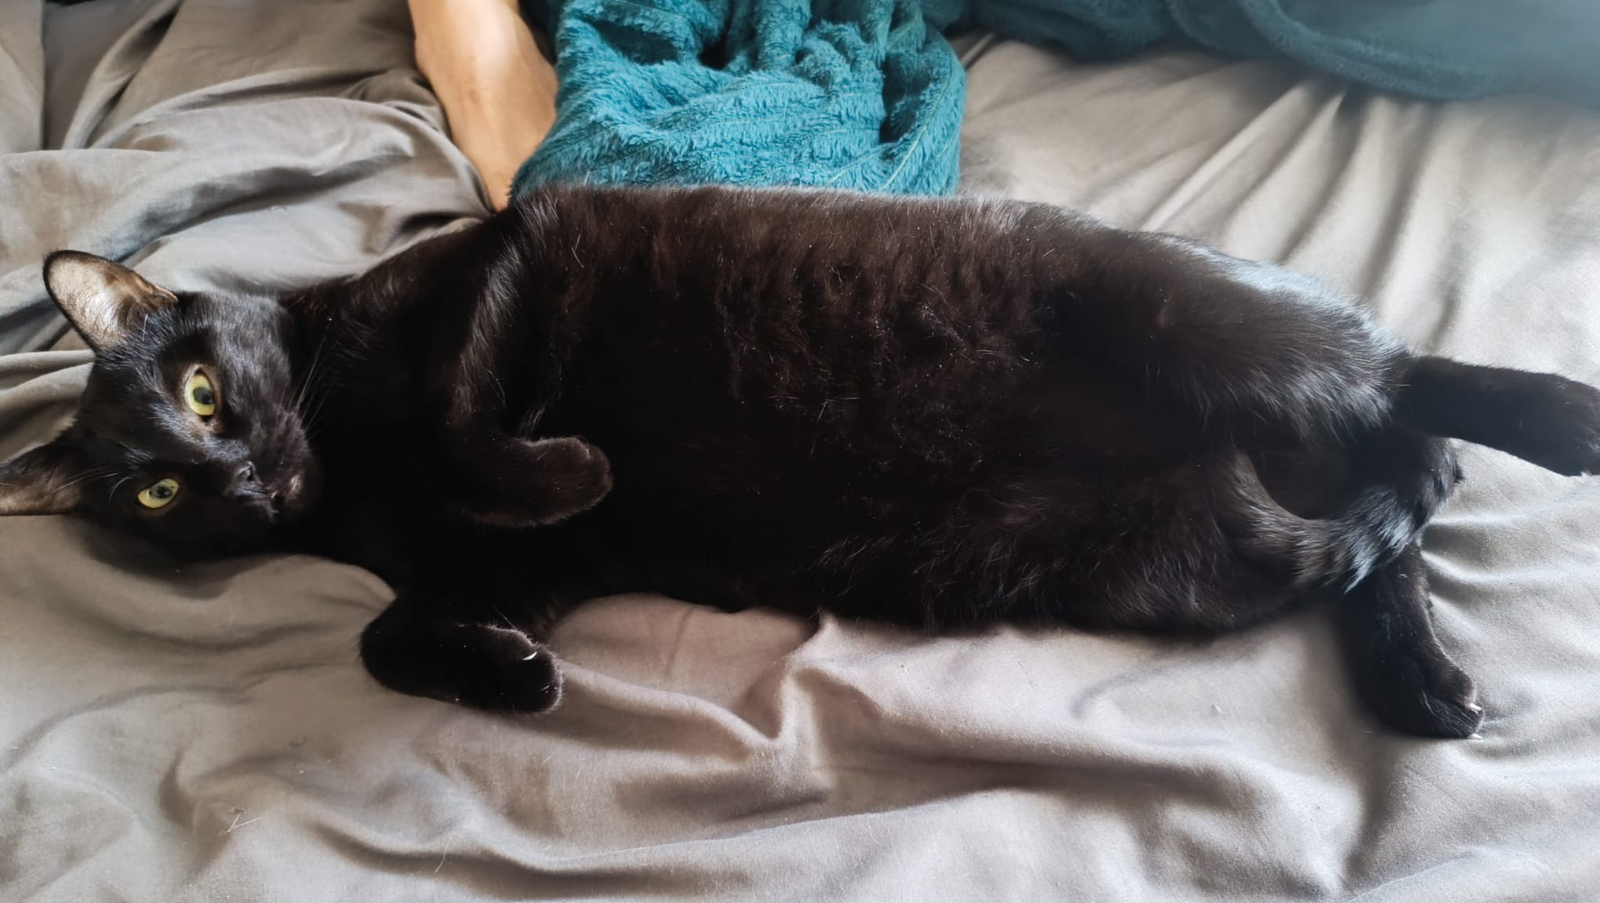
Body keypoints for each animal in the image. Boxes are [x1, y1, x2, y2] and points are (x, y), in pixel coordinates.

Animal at [4, 185, 1599, 739]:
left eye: (205, 390)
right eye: (155, 490)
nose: (237, 484)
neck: (350, 468)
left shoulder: (505, 261)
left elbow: (474, 420)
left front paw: (566, 461)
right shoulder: (502, 576)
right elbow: (387, 638)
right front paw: (513, 678)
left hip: (1208, 331)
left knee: (1413, 396)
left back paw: (1562, 417)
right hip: (1203, 558)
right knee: (1383, 526)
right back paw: (1422, 683)